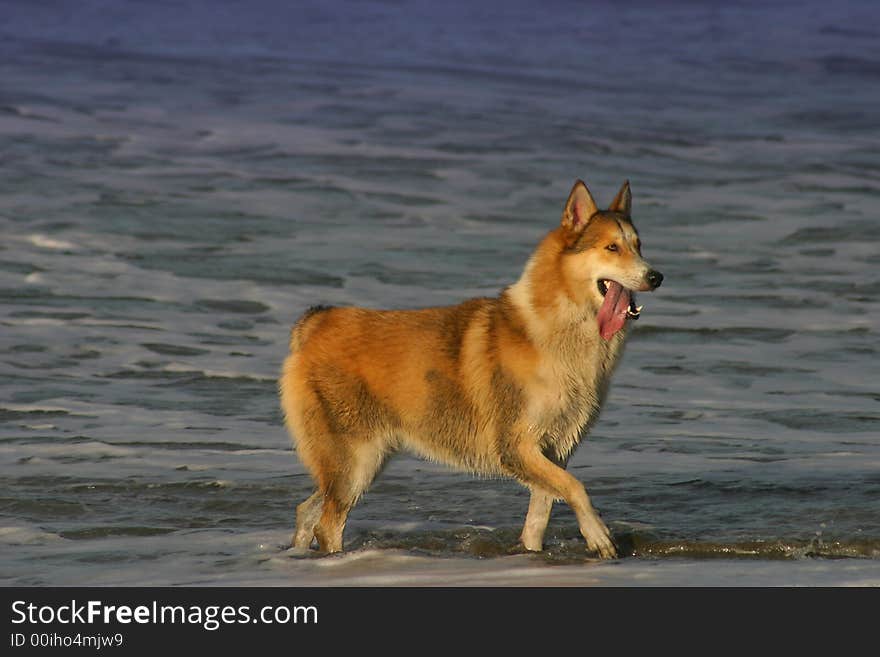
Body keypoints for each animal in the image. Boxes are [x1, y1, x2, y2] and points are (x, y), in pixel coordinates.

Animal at [278, 179, 664, 560]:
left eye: (638, 245)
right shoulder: (517, 445)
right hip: (357, 459)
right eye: (611, 247)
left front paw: (532, 555)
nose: (657, 276)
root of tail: (315, 323)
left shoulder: (554, 451)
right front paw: (599, 537)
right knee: (328, 523)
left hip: (362, 463)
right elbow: (576, 487)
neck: (559, 328)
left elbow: (539, 517)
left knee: (307, 510)